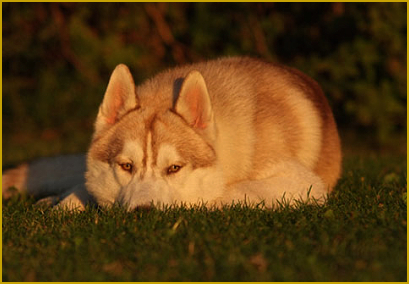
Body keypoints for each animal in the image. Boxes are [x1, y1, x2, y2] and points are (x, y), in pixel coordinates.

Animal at [2, 56, 342, 210]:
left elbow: (225, 193)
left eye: (174, 168)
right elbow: (84, 189)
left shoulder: (304, 184)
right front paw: (63, 205)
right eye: (126, 166)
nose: (144, 212)